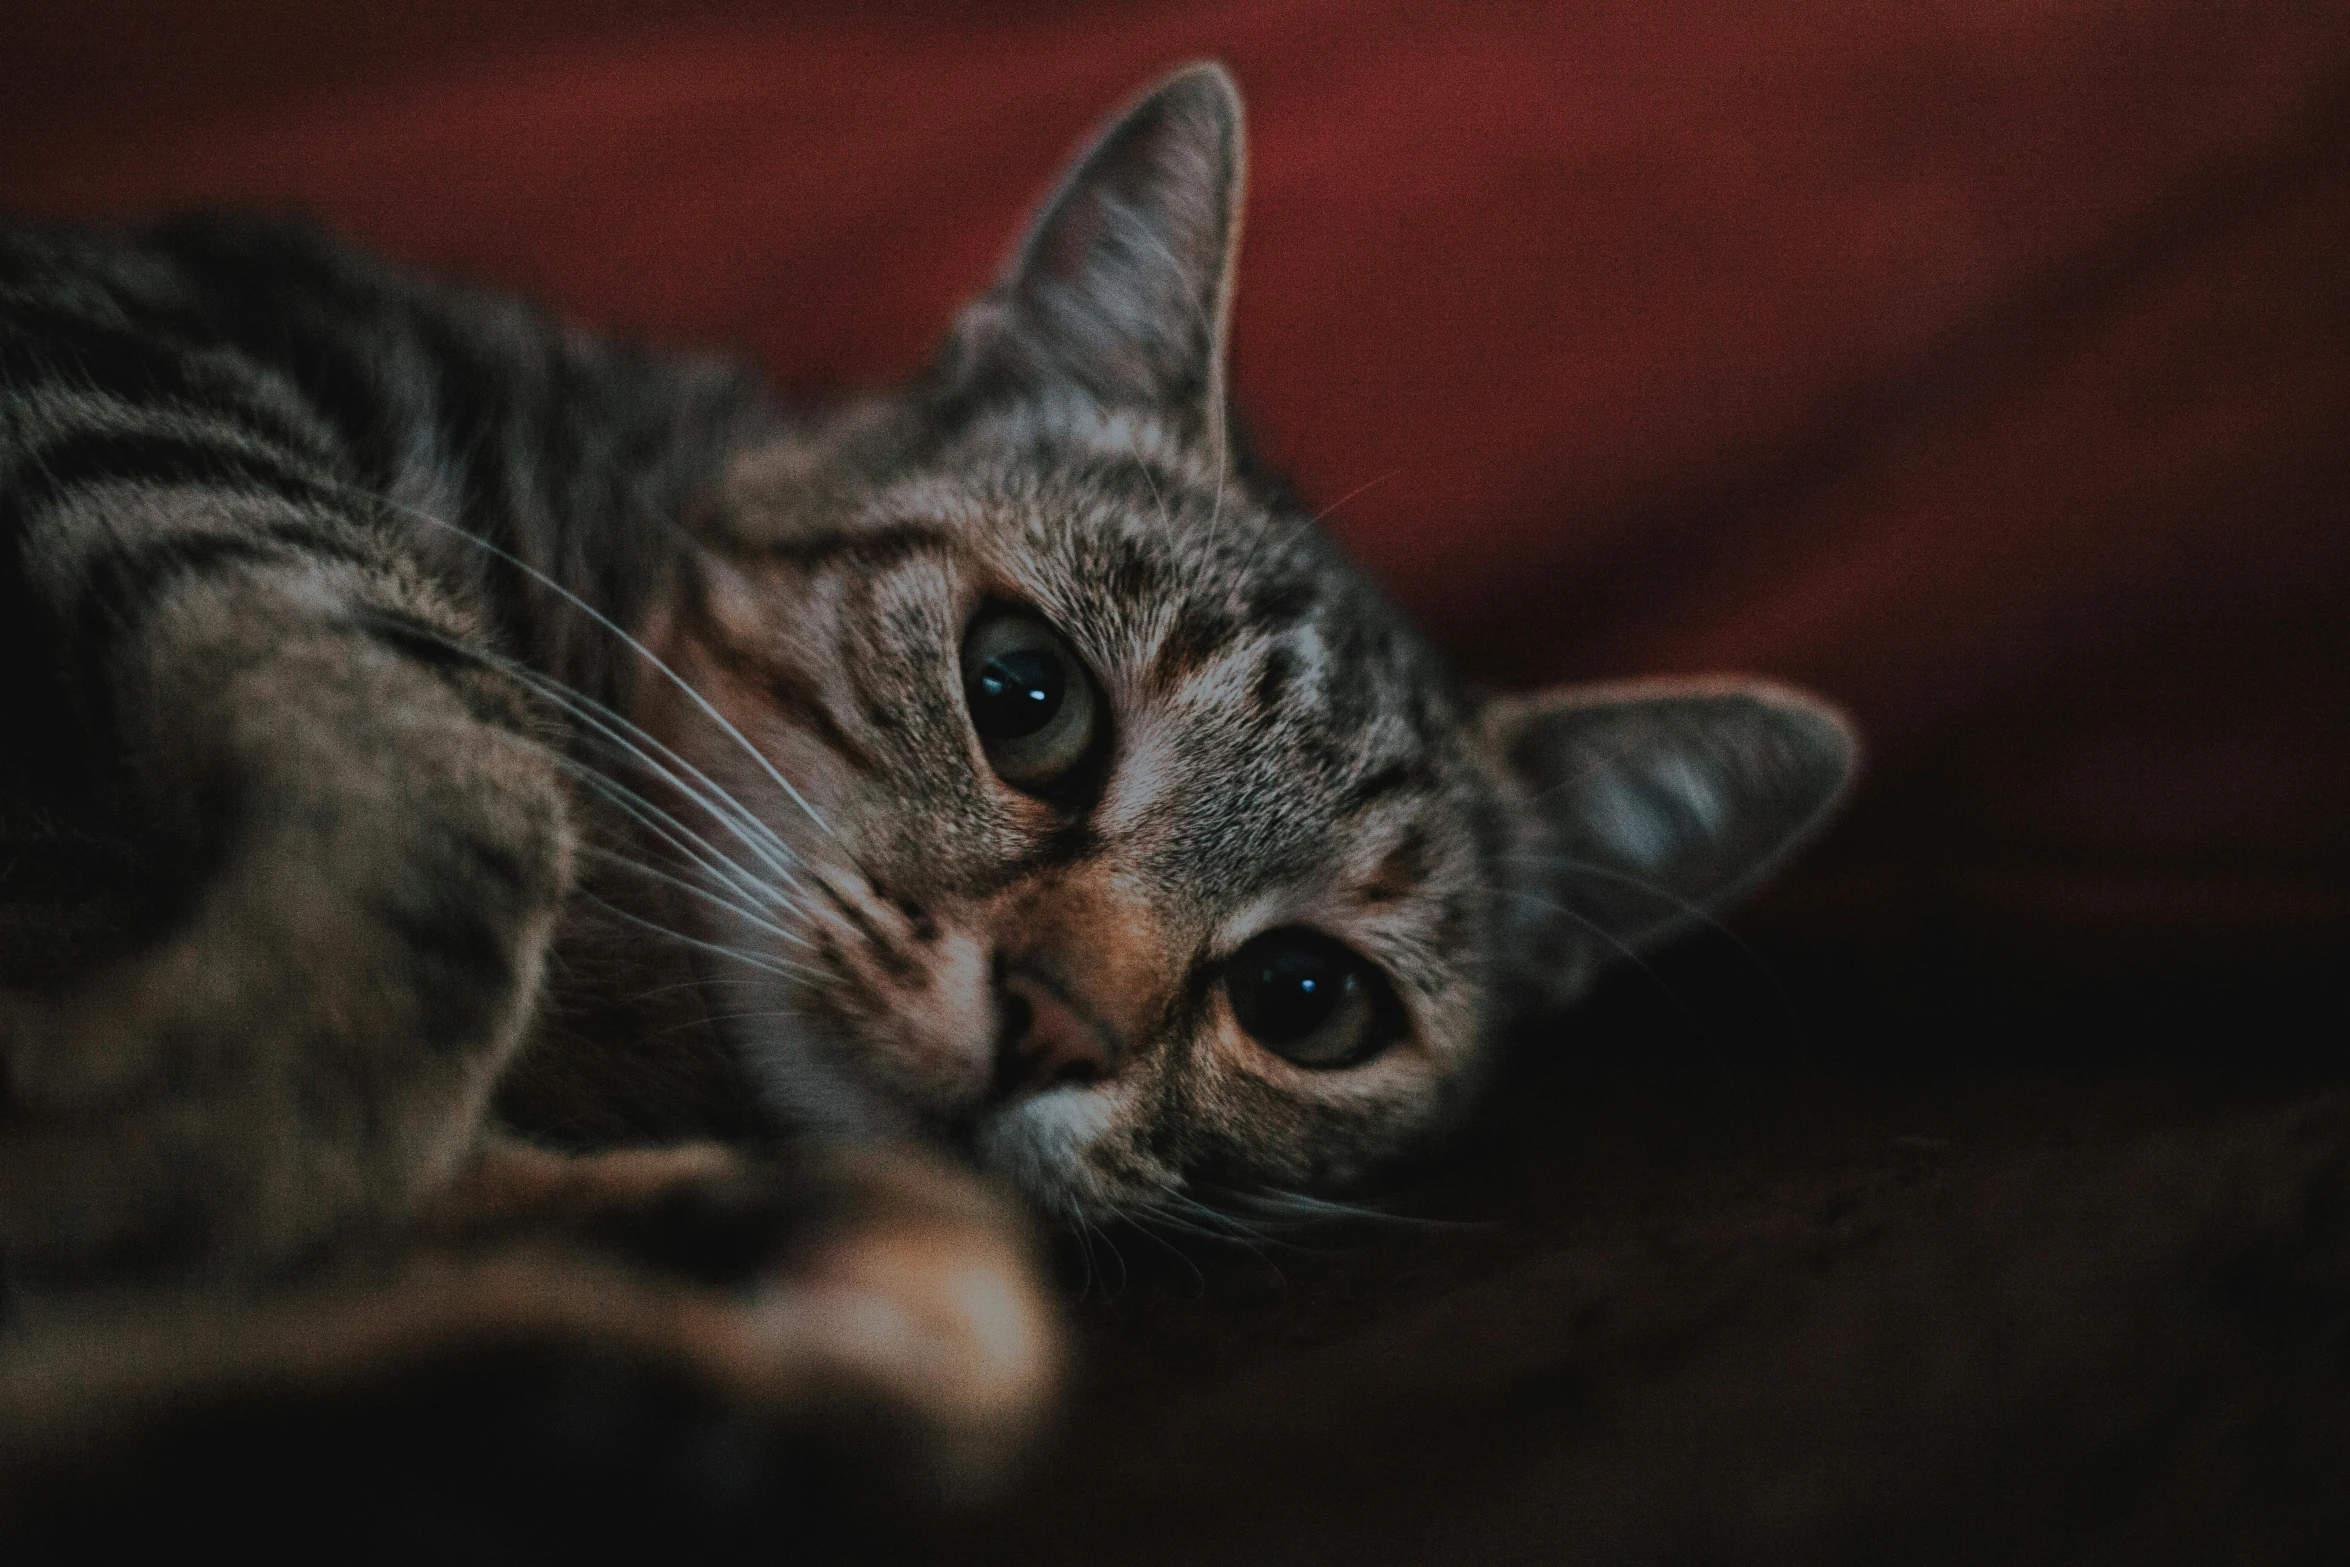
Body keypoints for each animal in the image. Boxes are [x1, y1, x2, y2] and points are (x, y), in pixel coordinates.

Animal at [0, 64, 1851, 1541]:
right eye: (1024, 691)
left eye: (1308, 997)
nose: (1052, 1023)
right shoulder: (135, 375)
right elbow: (448, 779)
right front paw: (218, 1109)